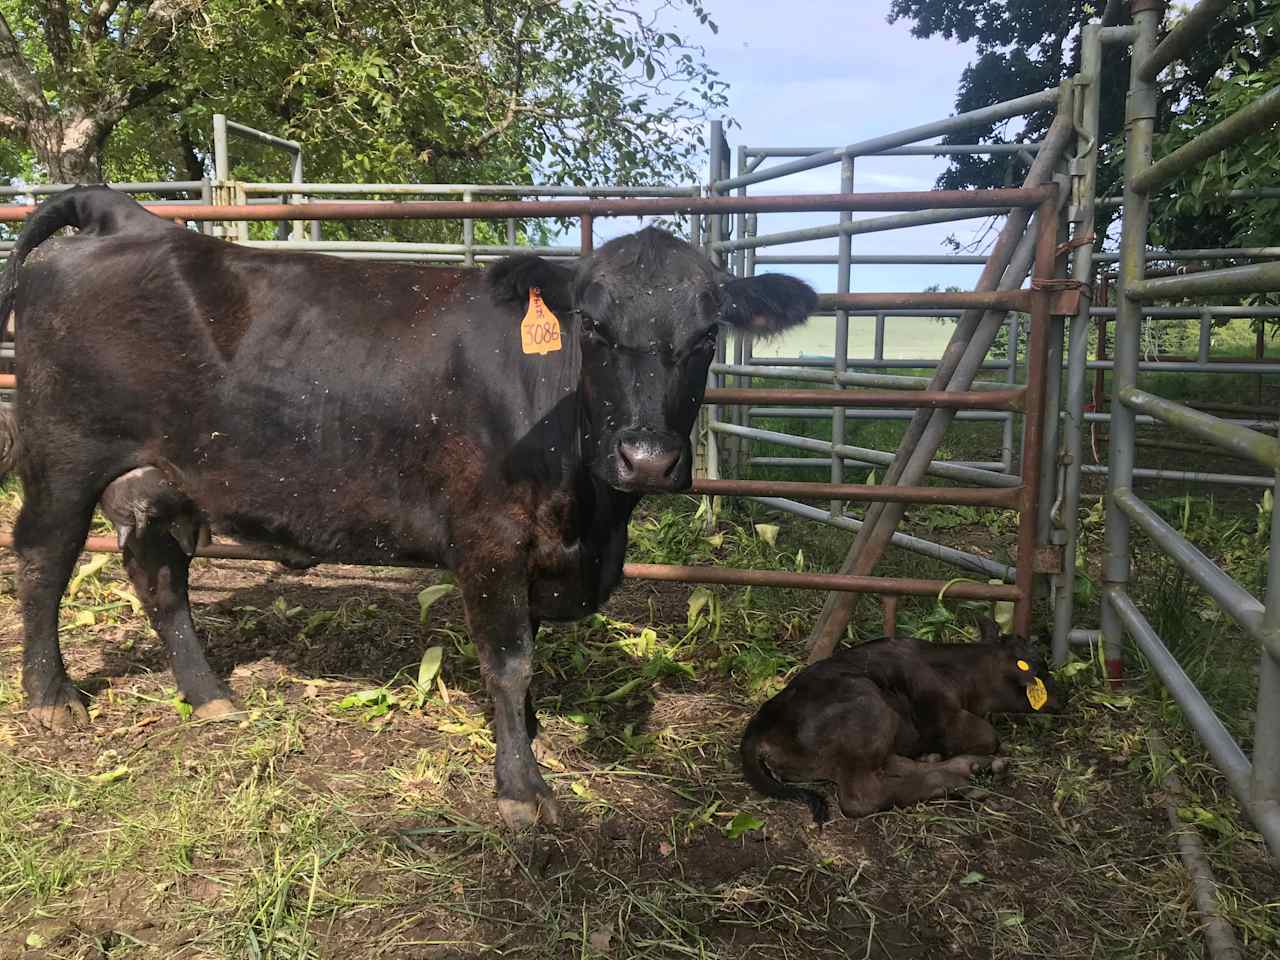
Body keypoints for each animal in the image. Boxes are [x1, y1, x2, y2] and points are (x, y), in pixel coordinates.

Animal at [0, 185, 814, 829]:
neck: (593, 522)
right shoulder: (488, 539)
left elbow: (527, 661)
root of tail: (130, 218)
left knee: (161, 577)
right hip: (64, 459)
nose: (646, 456)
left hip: (161, 480)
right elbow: (509, 662)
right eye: (592, 326)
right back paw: (51, 697)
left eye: (707, 335)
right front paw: (520, 788)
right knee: (43, 560)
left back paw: (209, 697)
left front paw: (528, 734)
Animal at [742, 624, 1059, 829]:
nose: (1063, 695)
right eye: (1037, 665)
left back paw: (969, 769)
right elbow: (989, 737)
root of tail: (760, 721)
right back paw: (956, 781)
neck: (959, 672)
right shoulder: (944, 715)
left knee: (891, 766)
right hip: (869, 704)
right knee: (862, 796)